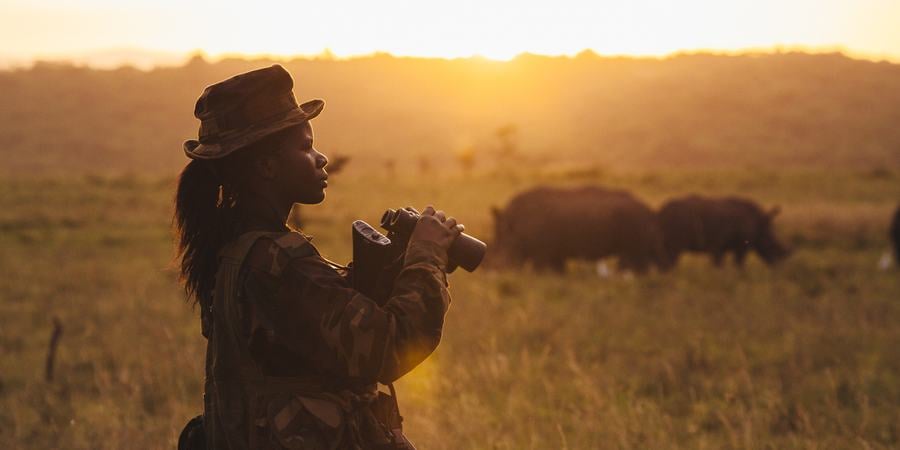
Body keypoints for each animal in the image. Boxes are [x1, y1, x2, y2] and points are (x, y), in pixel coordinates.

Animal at [490, 185, 668, 273]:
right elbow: (557, 271)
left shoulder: (542, 252)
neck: (512, 225)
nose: (495, 271)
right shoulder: (554, 251)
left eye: (501, 250)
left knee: (635, 258)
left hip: (633, 220)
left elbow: (540, 270)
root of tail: (650, 211)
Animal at [658, 195, 790, 267]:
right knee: (673, 253)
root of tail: (662, 210)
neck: (759, 223)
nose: (778, 265)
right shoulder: (741, 245)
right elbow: (739, 263)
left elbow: (721, 263)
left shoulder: (721, 245)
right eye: (771, 243)